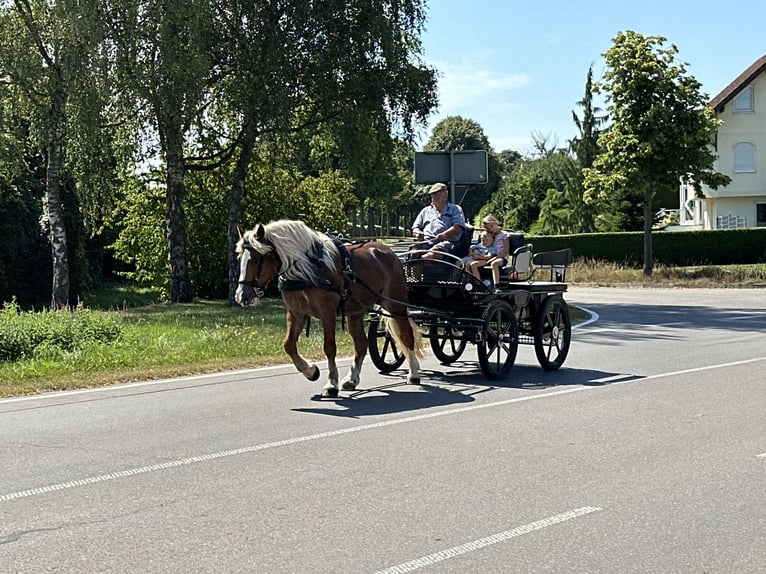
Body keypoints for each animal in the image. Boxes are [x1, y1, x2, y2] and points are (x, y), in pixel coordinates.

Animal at [236, 218, 426, 398]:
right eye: (240, 258)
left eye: (257, 259)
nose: (242, 296)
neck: (308, 269)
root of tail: (389, 251)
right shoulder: (296, 313)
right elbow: (289, 345)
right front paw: (311, 371)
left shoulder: (327, 312)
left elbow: (329, 347)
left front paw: (331, 384)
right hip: (356, 311)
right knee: (361, 343)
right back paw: (351, 379)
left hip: (395, 304)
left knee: (406, 335)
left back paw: (413, 373)